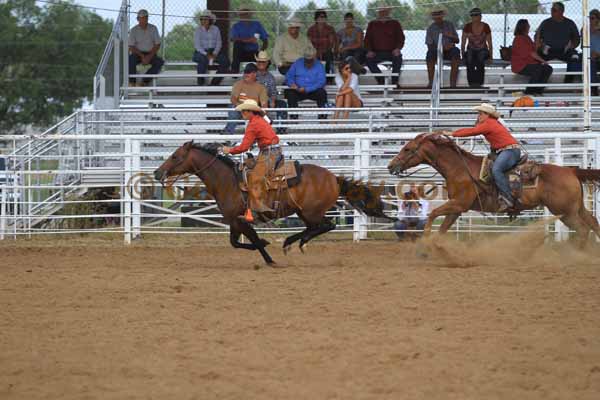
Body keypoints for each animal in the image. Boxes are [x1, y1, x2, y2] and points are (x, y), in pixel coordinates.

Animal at [155, 142, 390, 264]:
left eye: (175, 156)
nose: (158, 173)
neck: (227, 180)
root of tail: (334, 178)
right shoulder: (234, 221)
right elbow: (235, 243)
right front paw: (267, 246)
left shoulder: (242, 221)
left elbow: (253, 240)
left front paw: (269, 256)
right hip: (305, 212)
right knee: (315, 227)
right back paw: (290, 242)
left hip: (312, 212)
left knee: (326, 225)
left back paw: (297, 242)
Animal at [386, 134, 600, 245]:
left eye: (407, 149)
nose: (390, 165)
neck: (460, 168)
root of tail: (571, 170)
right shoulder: (458, 208)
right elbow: (443, 228)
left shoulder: (458, 203)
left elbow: (432, 215)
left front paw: (425, 239)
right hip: (576, 208)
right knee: (593, 222)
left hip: (564, 211)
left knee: (583, 229)